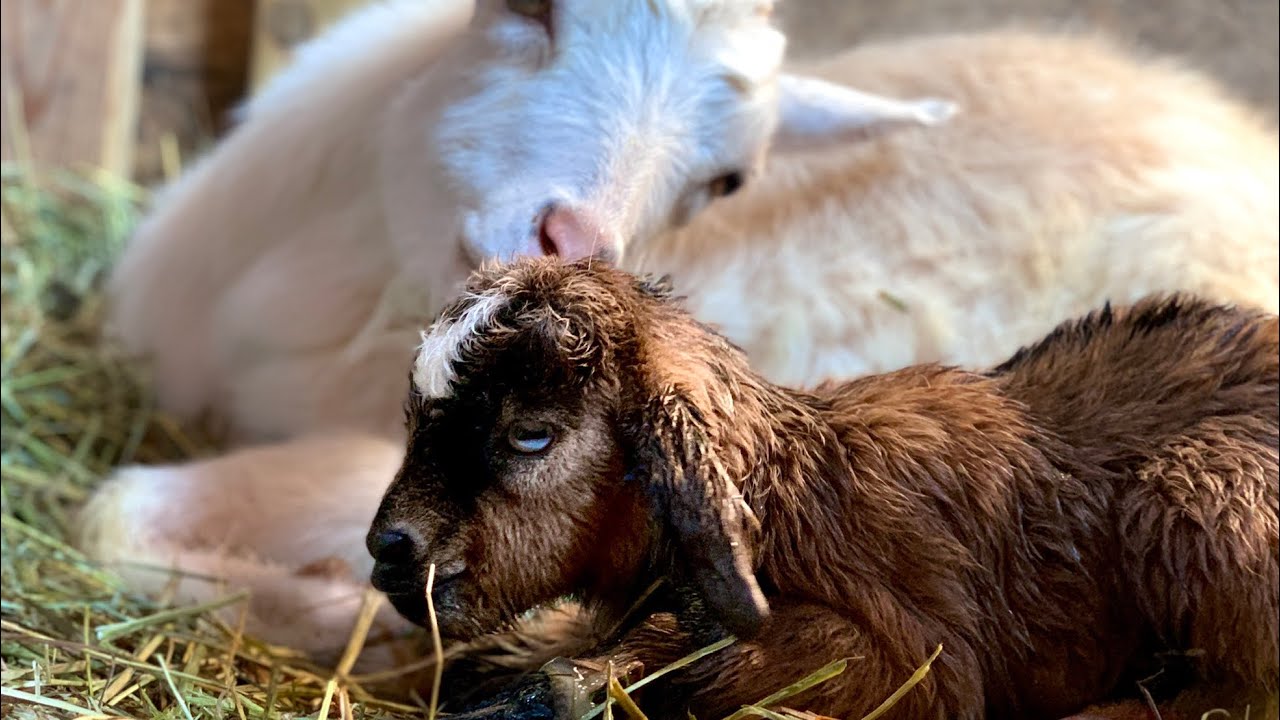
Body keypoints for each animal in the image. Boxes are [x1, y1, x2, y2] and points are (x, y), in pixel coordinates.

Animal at [366, 257, 1279, 719]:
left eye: (532, 435)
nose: (388, 548)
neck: (781, 498)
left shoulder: (920, 656)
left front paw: (574, 685)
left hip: (1200, 495)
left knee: (1245, 689)